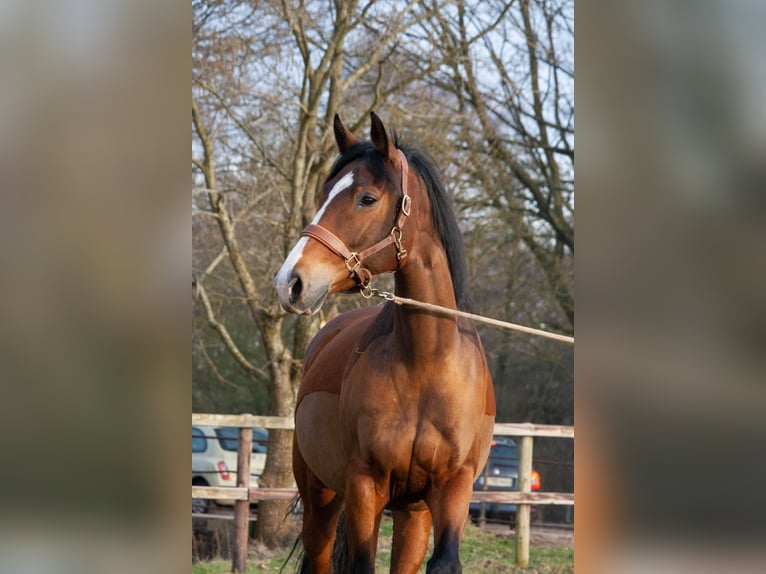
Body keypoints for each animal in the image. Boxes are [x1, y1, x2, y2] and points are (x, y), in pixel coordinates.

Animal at [276, 112, 498, 574]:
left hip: (412, 514)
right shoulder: (365, 486)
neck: (427, 362)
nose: (291, 282)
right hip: (321, 500)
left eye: (367, 198)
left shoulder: (451, 489)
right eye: (323, 194)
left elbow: (442, 562)